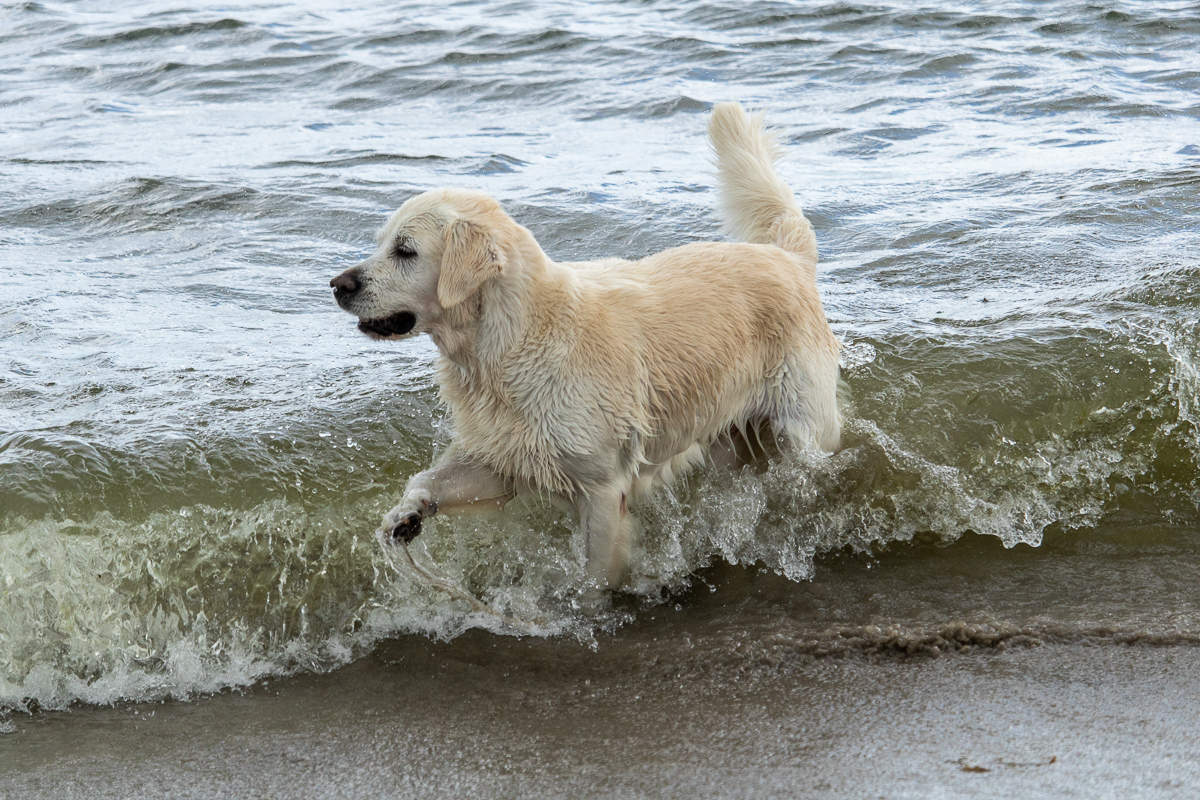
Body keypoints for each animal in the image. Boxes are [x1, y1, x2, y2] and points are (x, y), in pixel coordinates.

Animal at [324, 101, 840, 594]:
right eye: (381, 244)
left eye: (405, 250)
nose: (337, 285)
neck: (507, 344)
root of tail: (787, 256)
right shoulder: (505, 454)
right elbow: (430, 479)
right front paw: (406, 514)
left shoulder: (603, 488)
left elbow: (594, 574)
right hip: (722, 437)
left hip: (803, 426)